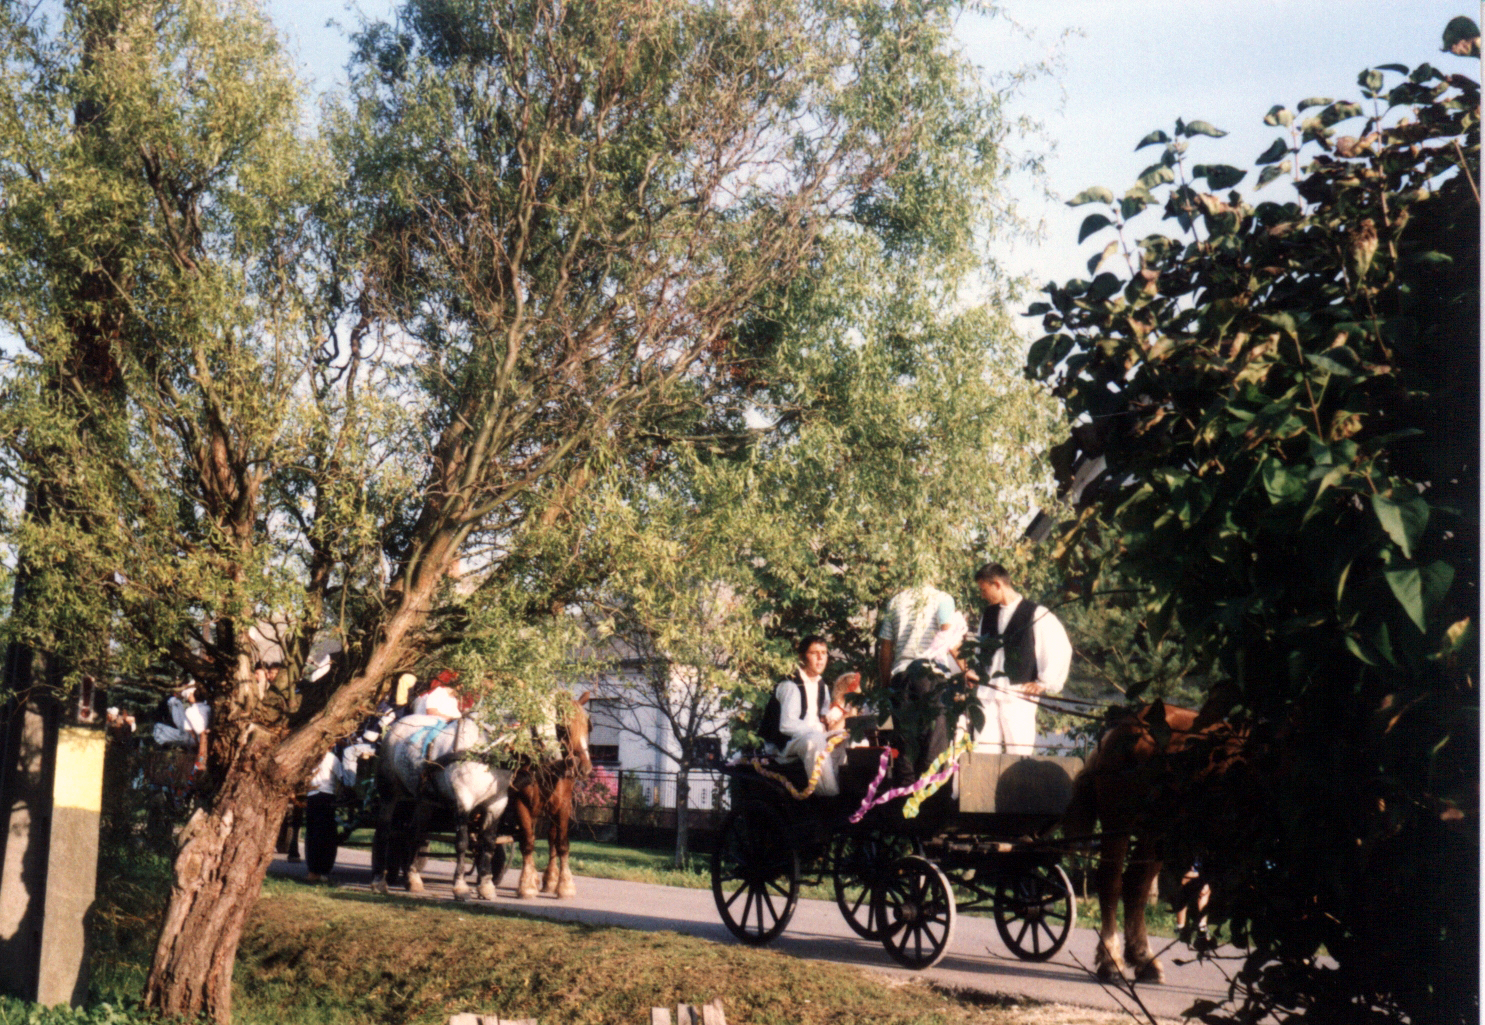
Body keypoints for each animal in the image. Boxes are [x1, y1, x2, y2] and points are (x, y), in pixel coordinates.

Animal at [370, 715, 513, 901]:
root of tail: (398, 723)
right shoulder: (462, 801)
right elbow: (462, 843)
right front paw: (460, 887)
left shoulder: (496, 804)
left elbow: (488, 843)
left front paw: (486, 886)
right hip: (389, 793)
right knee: (384, 830)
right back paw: (379, 881)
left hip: (425, 801)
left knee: (415, 833)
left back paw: (413, 879)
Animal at [505, 691, 592, 899]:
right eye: (563, 726)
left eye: (588, 727)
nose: (584, 768)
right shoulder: (521, 803)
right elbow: (527, 842)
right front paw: (526, 884)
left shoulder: (563, 806)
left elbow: (561, 844)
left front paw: (565, 885)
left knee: (552, 838)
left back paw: (551, 879)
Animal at [1062, 701, 1245, 983]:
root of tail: (1128, 722)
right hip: (1118, 821)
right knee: (1110, 881)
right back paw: (1111, 960)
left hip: (1157, 832)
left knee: (1135, 884)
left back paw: (1142, 958)